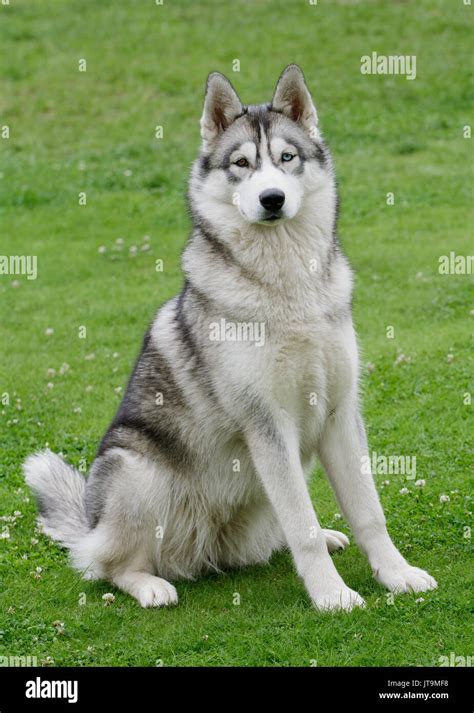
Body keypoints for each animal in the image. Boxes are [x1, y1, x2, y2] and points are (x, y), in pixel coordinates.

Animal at [24, 67, 436, 608]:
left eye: (287, 158)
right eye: (241, 163)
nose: (272, 198)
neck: (287, 290)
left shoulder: (339, 413)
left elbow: (368, 512)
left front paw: (396, 573)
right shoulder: (267, 424)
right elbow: (301, 527)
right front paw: (332, 596)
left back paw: (324, 536)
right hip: (136, 473)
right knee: (107, 565)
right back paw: (148, 583)